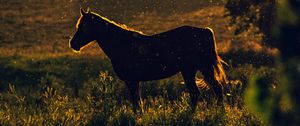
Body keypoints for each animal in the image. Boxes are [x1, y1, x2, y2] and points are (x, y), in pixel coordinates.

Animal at [69, 8, 227, 110]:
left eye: (84, 26)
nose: (73, 44)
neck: (122, 44)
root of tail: (203, 31)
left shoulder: (132, 81)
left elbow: (136, 103)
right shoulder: (134, 81)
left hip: (196, 69)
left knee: (211, 90)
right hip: (193, 70)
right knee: (202, 91)